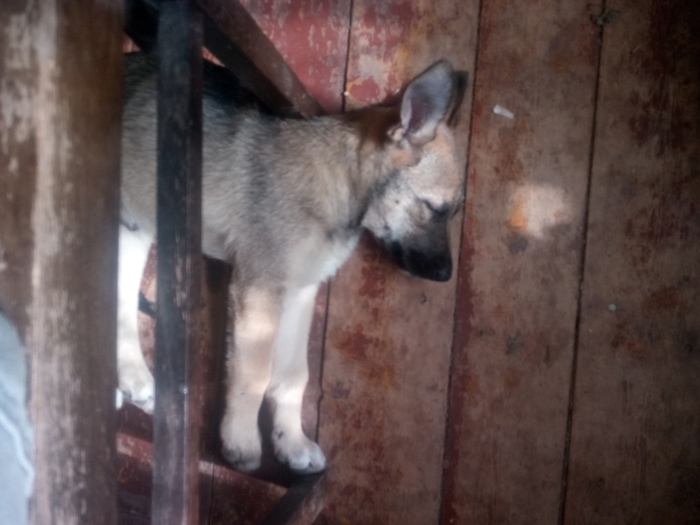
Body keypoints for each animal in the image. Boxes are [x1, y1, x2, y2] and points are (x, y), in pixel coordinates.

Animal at [118, 53, 468, 474]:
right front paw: (241, 440)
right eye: (435, 209)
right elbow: (255, 373)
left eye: (452, 213)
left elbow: (293, 377)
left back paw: (133, 379)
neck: (340, 182)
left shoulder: (300, 293)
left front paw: (292, 442)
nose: (445, 277)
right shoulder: (259, 290)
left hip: (135, 226)